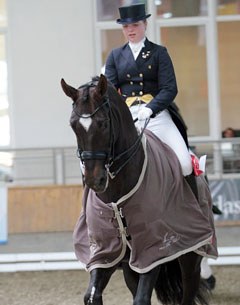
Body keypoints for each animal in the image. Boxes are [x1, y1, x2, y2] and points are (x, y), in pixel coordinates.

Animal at [60, 74, 218, 304]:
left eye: (103, 123)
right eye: (73, 125)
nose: (94, 180)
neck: (116, 194)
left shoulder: (152, 251)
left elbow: (142, 298)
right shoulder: (106, 253)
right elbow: (92, 294)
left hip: (191, 257)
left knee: (188, 289)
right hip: (129, 268)